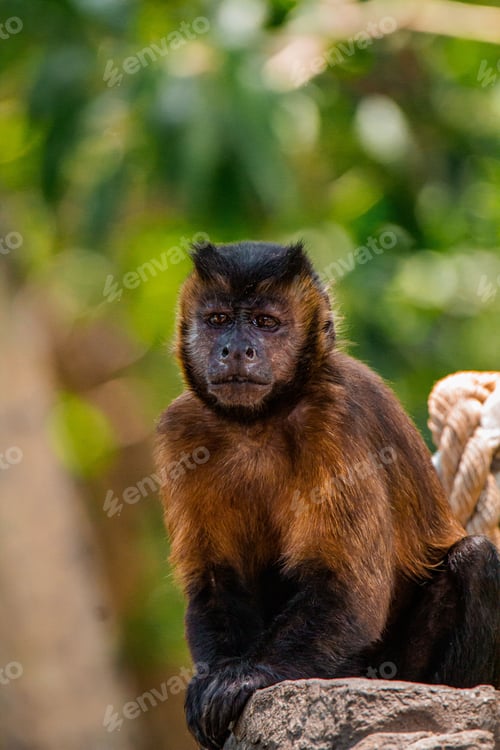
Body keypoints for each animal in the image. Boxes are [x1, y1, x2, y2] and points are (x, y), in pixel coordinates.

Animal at [156, 240, 500, 750]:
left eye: (265, 322)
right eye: (218, 319)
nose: (235, 349)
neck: (259, 421)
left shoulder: (339, 417)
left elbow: (346, 586)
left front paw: (248, 677)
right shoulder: (184, 429)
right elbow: (215, 580)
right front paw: (215, 677)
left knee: (477, 558)